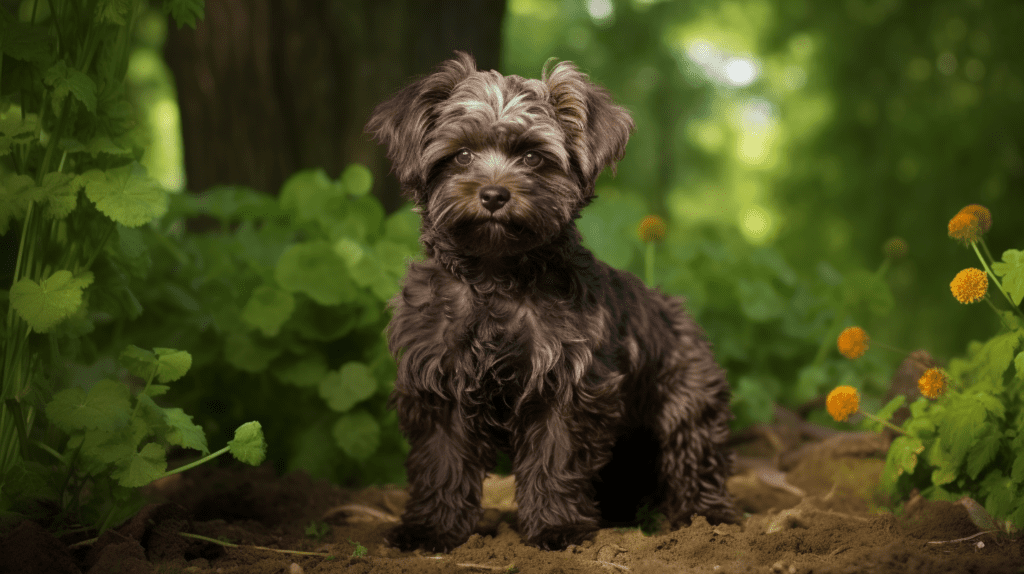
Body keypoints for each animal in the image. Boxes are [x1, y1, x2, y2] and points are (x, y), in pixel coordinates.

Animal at [368, 52, 737, 552]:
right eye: (461, 154)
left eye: (532, 157)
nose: (494, 194)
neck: (496, 280)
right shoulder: (438, 386)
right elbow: (441, 463)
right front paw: (433, 530)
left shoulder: (566, 384)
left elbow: (555, 459)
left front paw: (556, 528)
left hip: (687, 408)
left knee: (696, 463)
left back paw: (704, 522)